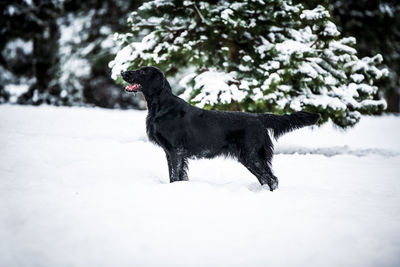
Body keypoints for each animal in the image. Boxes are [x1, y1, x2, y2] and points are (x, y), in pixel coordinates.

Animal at [120, 68, 320, 192]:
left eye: (143, 71)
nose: (122, 72)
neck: (161, 106)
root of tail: (258, 117)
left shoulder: (175, 151)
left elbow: (175, 175)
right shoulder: (172, 153)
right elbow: (178, 175)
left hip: (252, 155)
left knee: (272, 179)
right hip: (249, 157)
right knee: (267, 179)